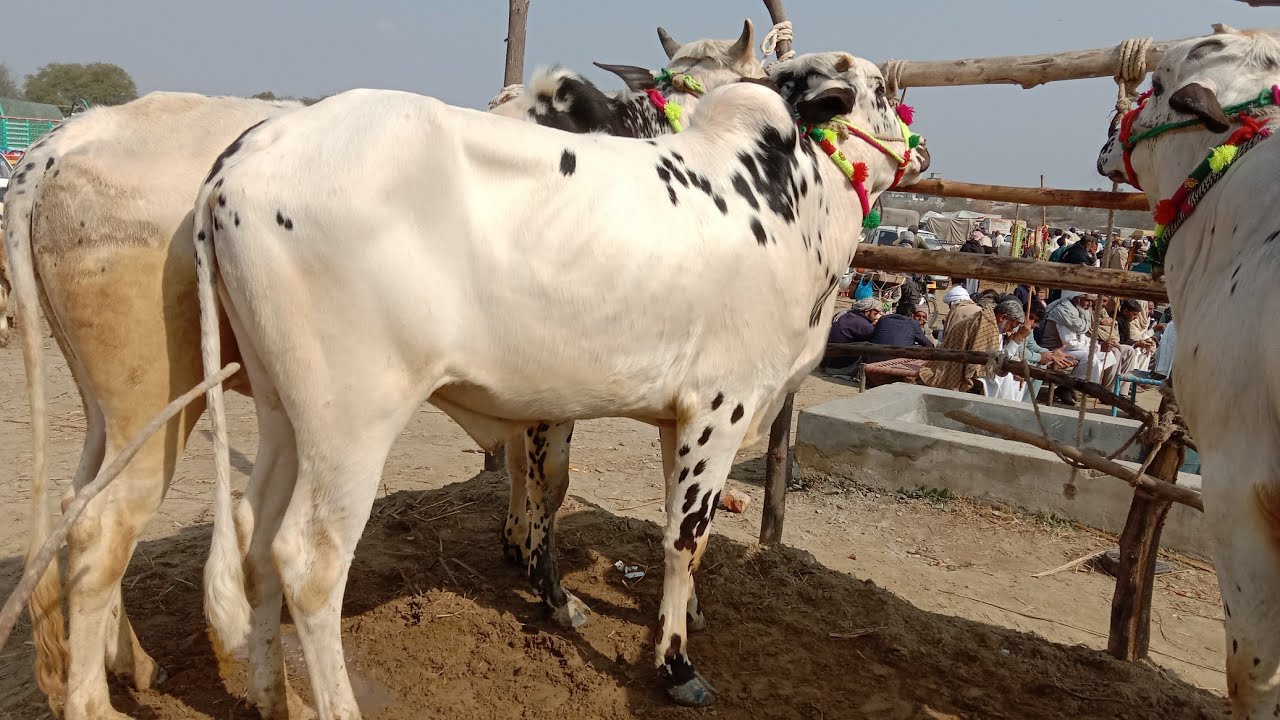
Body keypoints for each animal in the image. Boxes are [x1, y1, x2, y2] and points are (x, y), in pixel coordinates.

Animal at [2, 93, 298, 720]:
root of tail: (59, 141)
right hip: (158, 388)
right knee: (103, 523)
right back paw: (94, 703)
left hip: (106, 401)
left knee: (78, 501)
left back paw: (133, 662)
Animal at [194, 51, 928, 718]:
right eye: (882, 91)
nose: (920, 150)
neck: (784, 201)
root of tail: (243, 156)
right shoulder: (723, 407)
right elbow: (684, 536)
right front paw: (676, 665)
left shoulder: (681, 416)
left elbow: (678, 528)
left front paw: (681, 616)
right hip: (353, 418)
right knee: (308, 562)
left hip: (284, 411)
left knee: (254, 535)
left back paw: (271, 695)